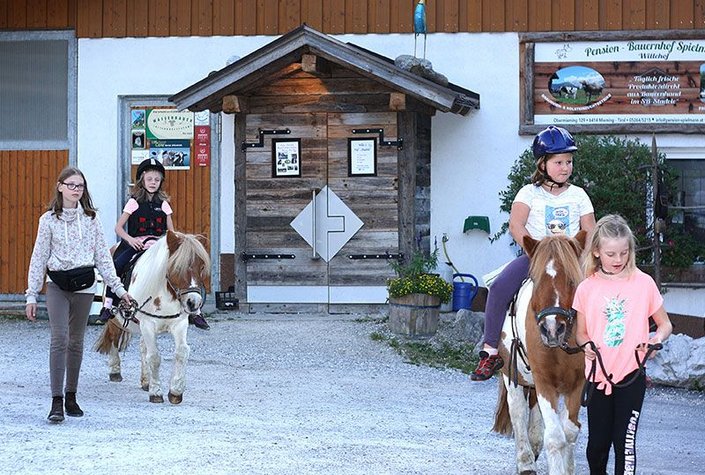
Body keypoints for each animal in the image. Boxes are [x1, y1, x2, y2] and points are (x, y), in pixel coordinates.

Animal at [96, 231, 212, 406]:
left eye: (202, 266)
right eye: (178, 267)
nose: (194, 303)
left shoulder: (179, 324)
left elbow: (181, 352)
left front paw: (176, 391)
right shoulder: (148, 323)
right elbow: (155, 357)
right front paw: (156, 392)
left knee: (143, 348)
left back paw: (146, 381)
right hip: (115, 319)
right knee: (114, 338)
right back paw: (115, 371)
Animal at [492, 232, 584, 474]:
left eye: (572, 279)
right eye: (536, 278)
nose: (552, 328)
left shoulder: (577, 383)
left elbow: (570, 431)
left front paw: (568, 467)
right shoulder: (544, 381)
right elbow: (555, 436)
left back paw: (533, 447)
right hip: (512, 375)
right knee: (518, 412)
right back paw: (525, 461)